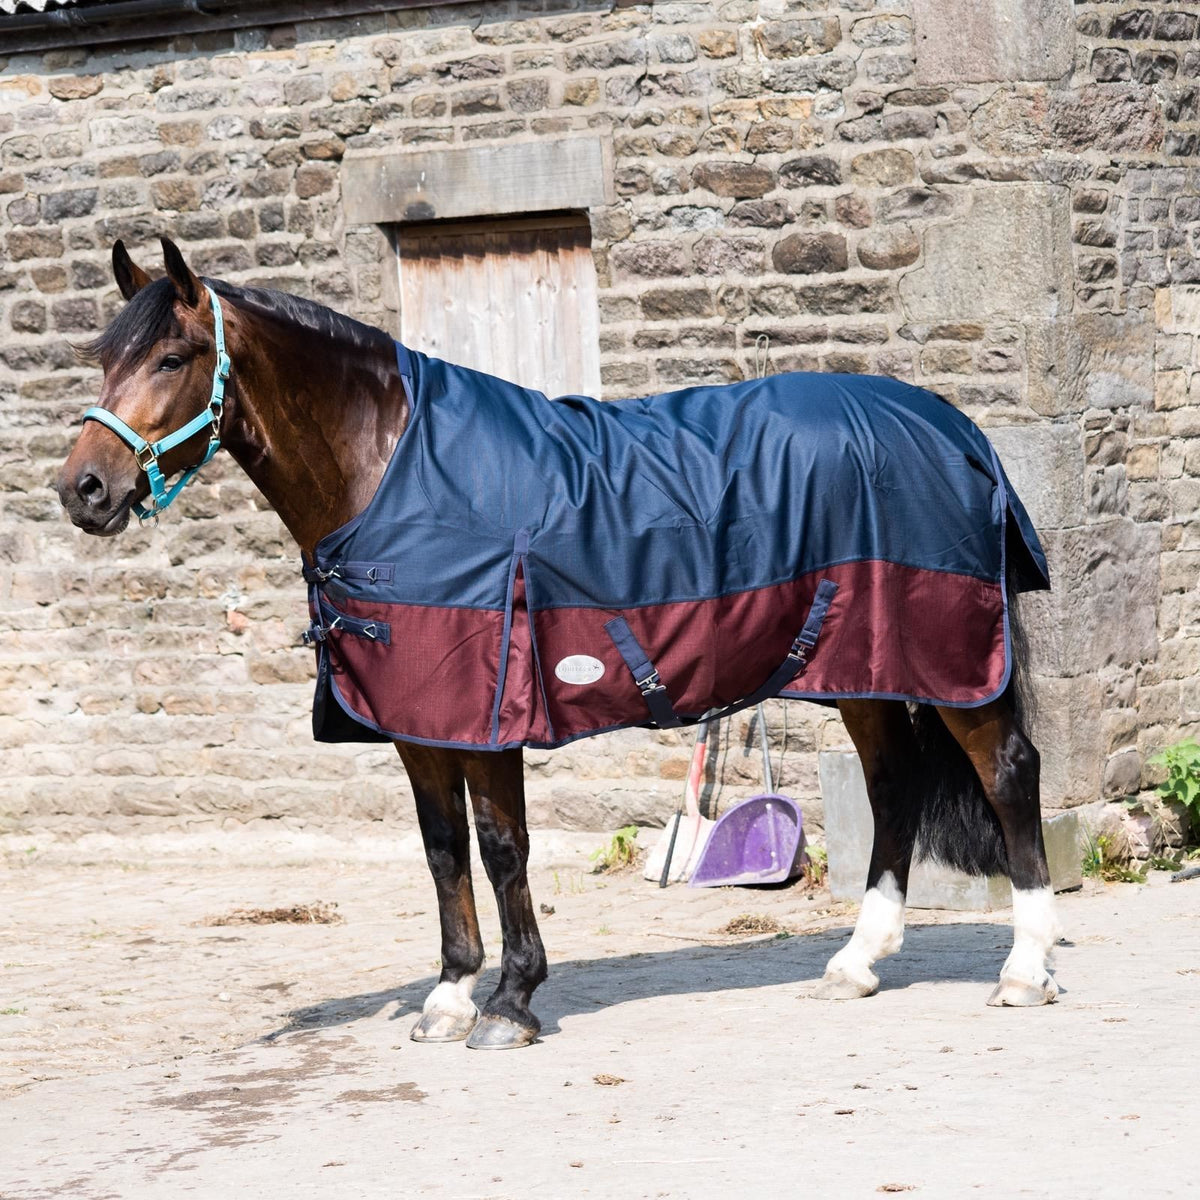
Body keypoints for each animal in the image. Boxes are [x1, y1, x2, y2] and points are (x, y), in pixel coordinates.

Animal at [56, 238, 1061, 1050]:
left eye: (174, 356)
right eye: (104, 357)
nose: (83, 490)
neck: (394, 473)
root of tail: (955, 430)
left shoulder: (491, 708)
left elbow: (503, 847)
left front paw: (509, 1004)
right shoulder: (420, 719)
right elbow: (442, 851)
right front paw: (450, 996)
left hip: (953, 660)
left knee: (1009, 771)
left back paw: (1025, 971)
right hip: (863, 668)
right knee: (894, 787)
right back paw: (858, 962)